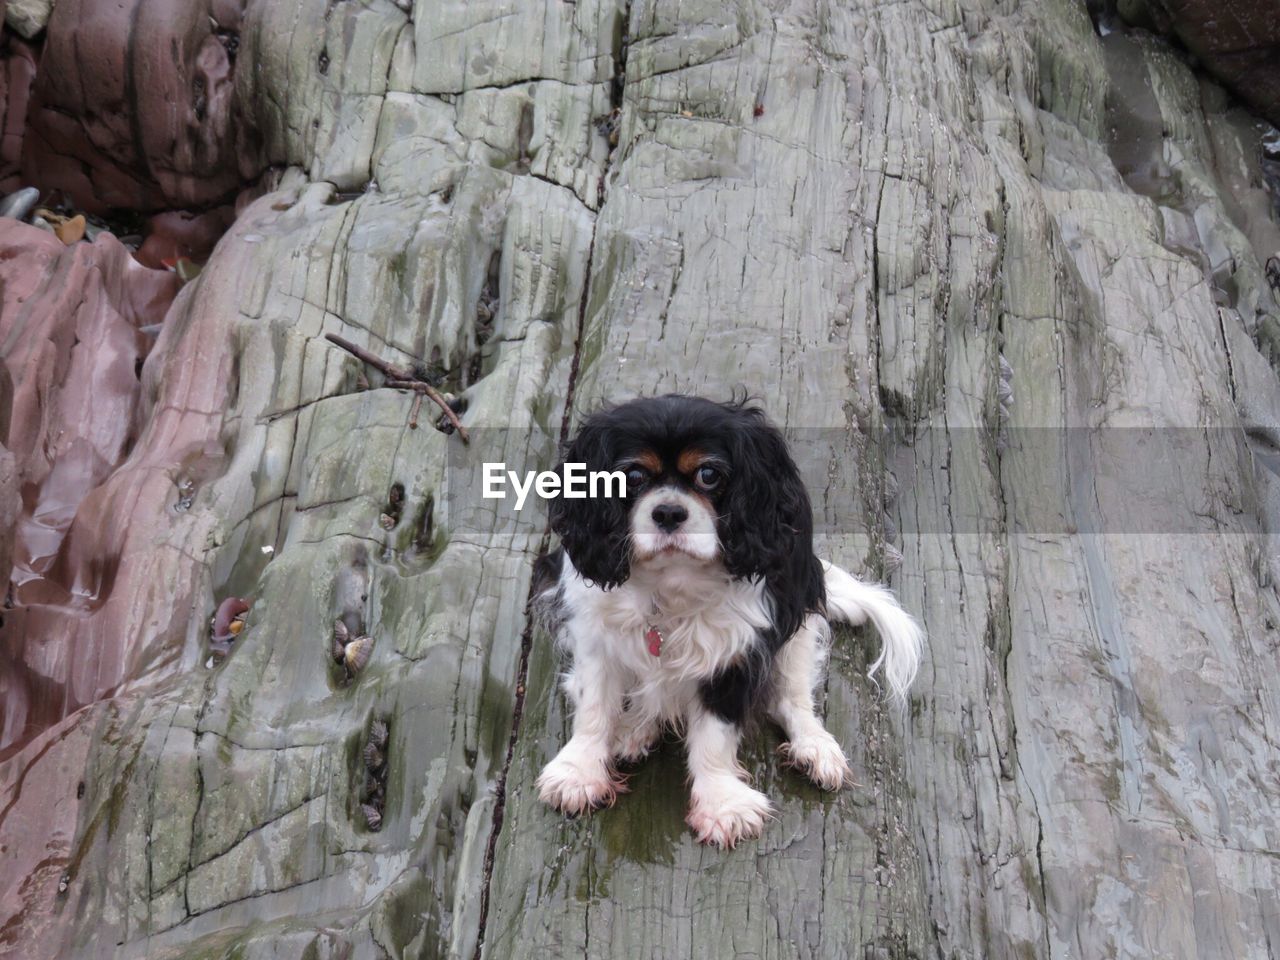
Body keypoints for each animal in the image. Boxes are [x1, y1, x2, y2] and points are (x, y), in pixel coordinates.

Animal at [529, 396, 921, 849]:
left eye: (708, 474)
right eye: (633, 476)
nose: (668, 512)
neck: (671, 584)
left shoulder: (736, 653)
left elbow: (716, 733)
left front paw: (722, 804)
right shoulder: (596, 636)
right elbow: (594, 708)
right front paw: (578, 773)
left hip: (800, 620)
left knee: (792, 697)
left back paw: (814, 745)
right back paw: (633, 728)